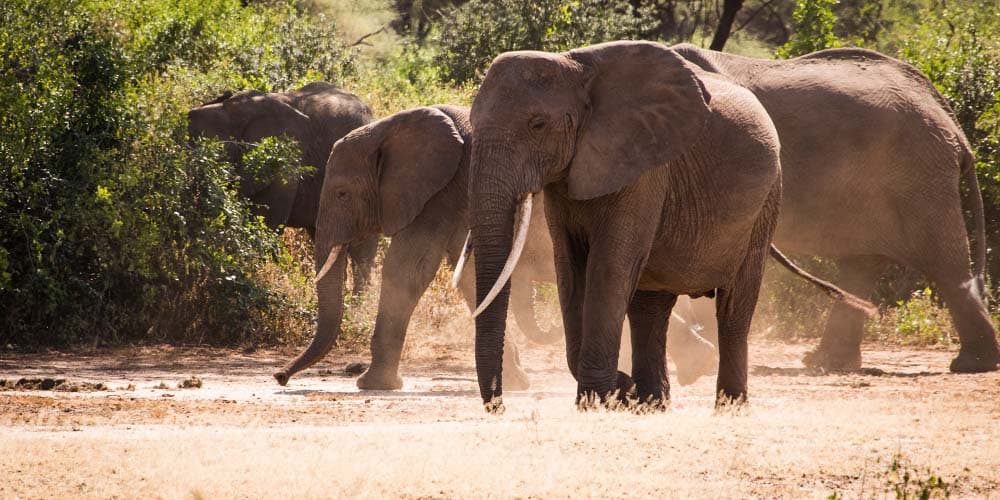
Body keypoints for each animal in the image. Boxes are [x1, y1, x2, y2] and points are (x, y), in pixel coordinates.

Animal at [272, 105, 562, 391]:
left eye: (342, 194)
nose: (280, 377)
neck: (388, 129)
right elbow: (468, 277)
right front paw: (515, 382)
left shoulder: (443, 193)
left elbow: (406, 269)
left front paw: (374, 385)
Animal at [466, 40, 873, 411]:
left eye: (537, 125)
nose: (498, 406)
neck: (574, 67)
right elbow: (570, 270)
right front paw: (620, 392)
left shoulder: (644, 170)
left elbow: (608, 268)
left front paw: (599, 399)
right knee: (651, 310)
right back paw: (652, 403)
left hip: (767, 201)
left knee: (734, 309)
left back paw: (728, 406)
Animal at [661, 44, 1000, 375]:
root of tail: (952, 123)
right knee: (862, 264)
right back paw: (827, 362)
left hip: (917, 174)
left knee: (942, 262)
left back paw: (972, 364)